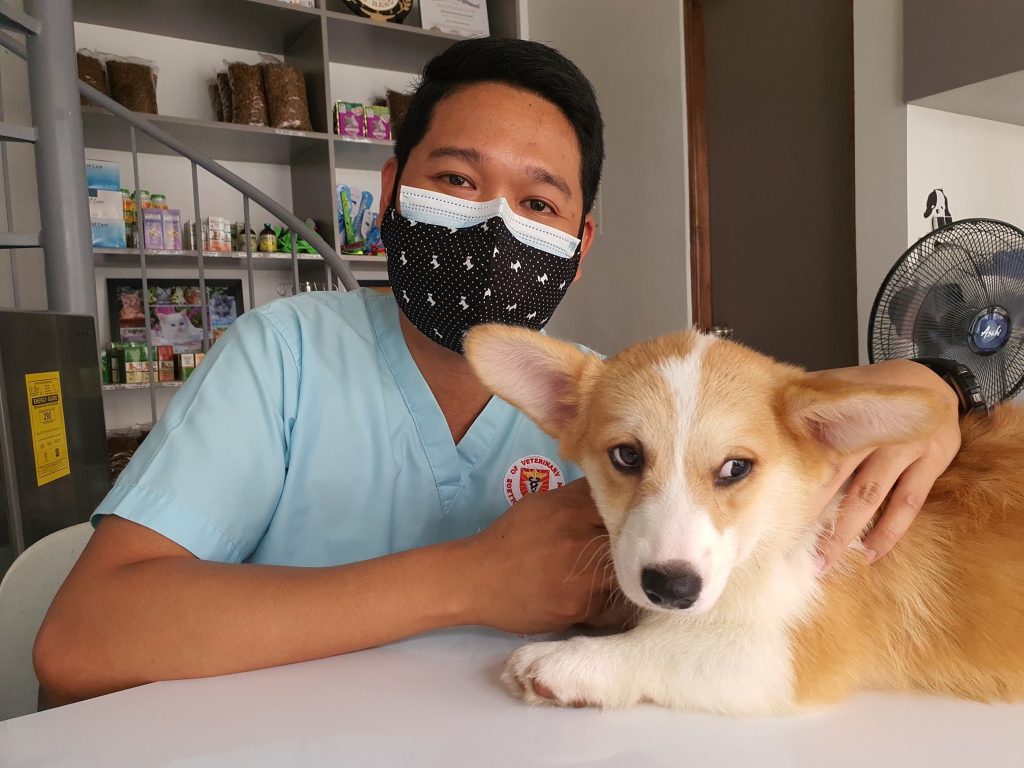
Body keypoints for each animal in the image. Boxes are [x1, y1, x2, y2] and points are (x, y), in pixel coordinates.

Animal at [462, 325, 1024, 716]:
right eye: (626, 456)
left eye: (736, 468)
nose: (671, 588)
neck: (771, 536)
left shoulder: (787, 657)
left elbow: (669, 647)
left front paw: (569, 663)